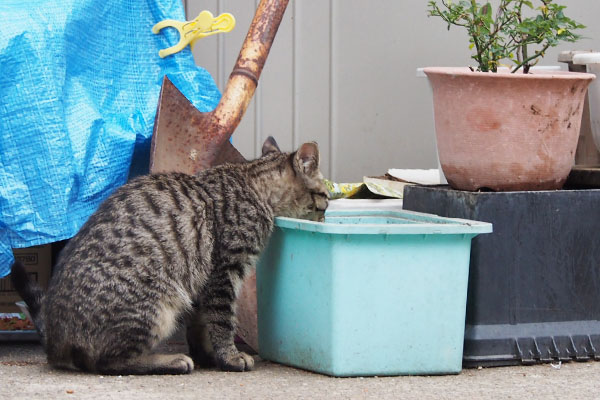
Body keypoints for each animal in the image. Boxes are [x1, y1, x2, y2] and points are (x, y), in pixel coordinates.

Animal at [10, 138, 328, 376]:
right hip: (157, 305)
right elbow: (222, 321)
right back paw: (169, 362)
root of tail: (55, 339)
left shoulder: (203, 284)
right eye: (326, 197)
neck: (253, 183)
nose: (325, 218)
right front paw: (230, 356)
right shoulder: (224, 272)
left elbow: (200, 326)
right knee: (107, 363)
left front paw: (208, 355)